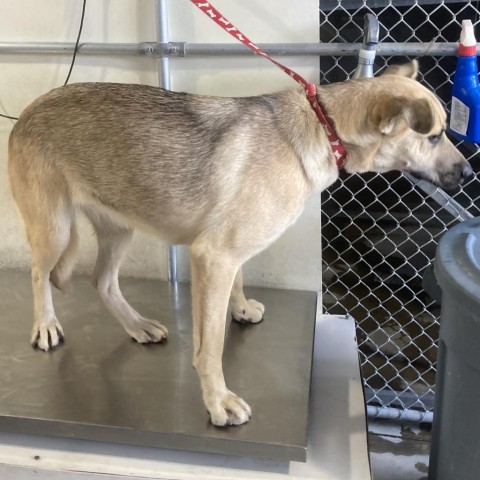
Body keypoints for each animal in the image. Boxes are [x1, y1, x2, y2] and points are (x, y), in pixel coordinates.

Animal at [8, 60, 472, 424]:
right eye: (433, 136)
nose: (468, 174)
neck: (325, 127)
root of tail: (28, 110)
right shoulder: (214, 257)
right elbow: (210, 347)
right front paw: (217, 401)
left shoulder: (229, 255)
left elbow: (240, 281)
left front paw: (241, 307)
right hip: (55, 230)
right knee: (38, 274)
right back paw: (45, 325)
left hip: (120, 228)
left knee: (102, 282)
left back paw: (136, 325)